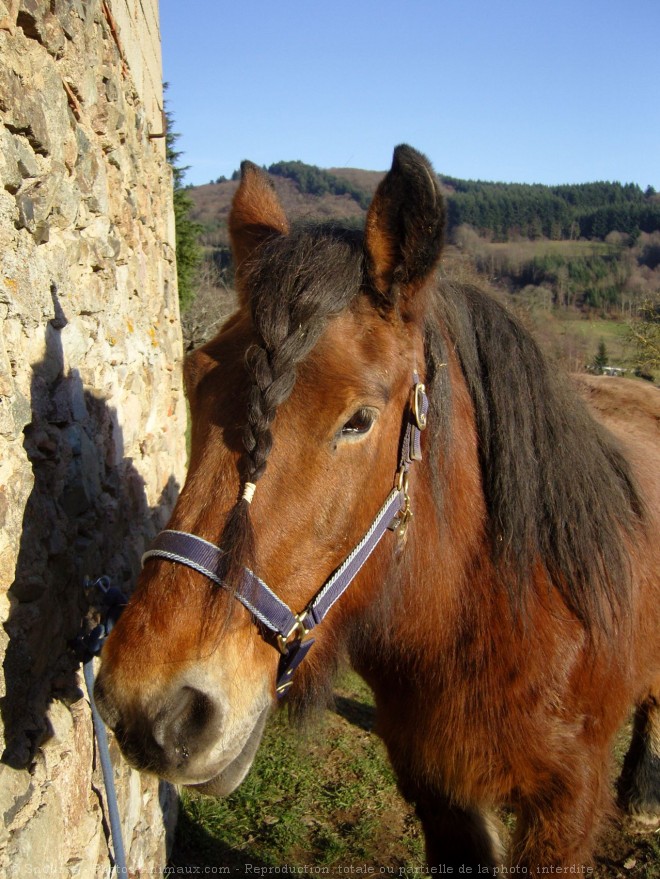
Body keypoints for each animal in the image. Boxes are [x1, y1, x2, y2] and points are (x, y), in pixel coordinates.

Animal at [93, 148, 660, 868]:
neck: (495, 616)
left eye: (359, 420)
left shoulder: (568, 807)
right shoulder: (436, 790)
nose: (152, 709)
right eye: (193, 379)